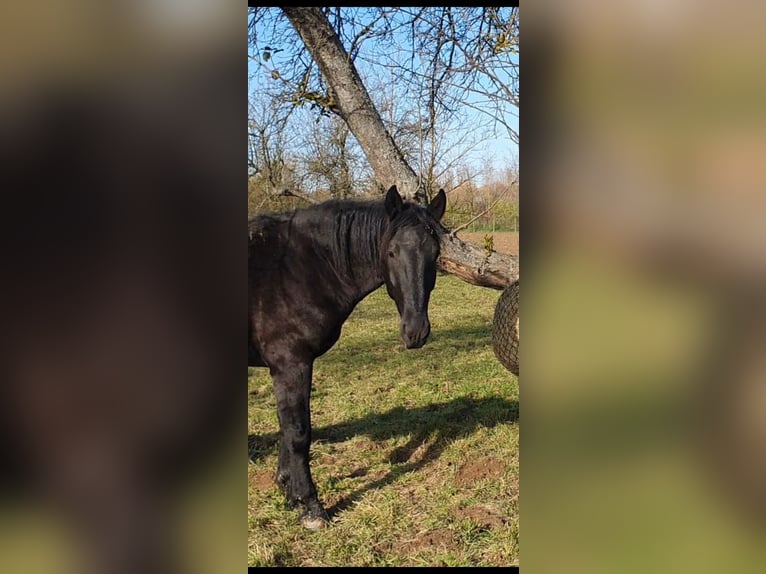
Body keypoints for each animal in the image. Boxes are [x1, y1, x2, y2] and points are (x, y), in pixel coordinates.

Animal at [249, 186, 448, 532]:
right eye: (392, 252)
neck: (296, 267)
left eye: (434, 254)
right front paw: (310, 506)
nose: (416, 332)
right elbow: (298, 432)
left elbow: (286, 428)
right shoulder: (291, 364)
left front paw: (288, 489)